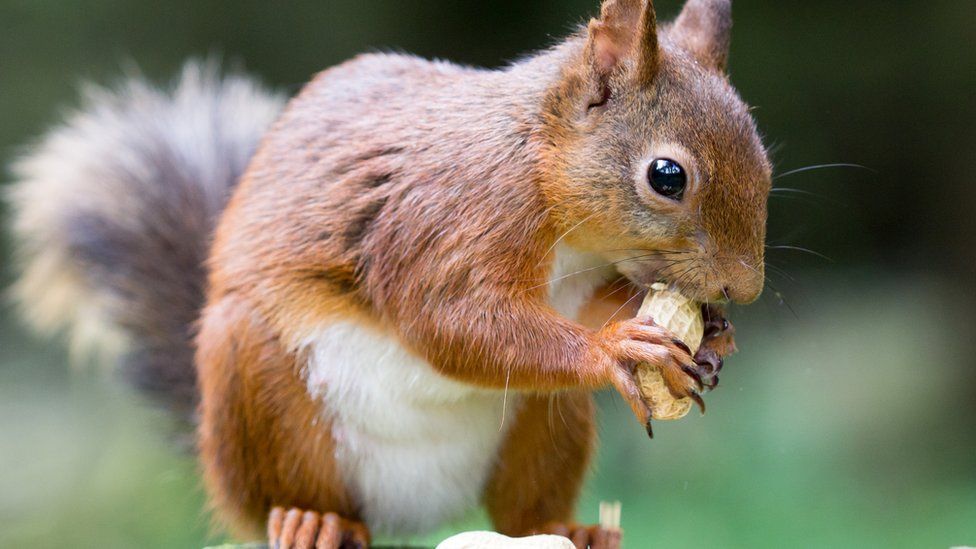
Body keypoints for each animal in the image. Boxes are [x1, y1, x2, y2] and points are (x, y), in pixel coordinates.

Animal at [7, 1, 772, 548]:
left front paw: (711, 336)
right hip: (252, 382)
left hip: (543, 422)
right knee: (286, 501)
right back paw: (310, 523)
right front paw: (614, 348)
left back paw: (572, 530)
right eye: (666, 176)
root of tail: (416, 511)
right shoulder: (445, 221)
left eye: (763, 159)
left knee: (523, 514)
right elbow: (451, 321)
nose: (744, 289)